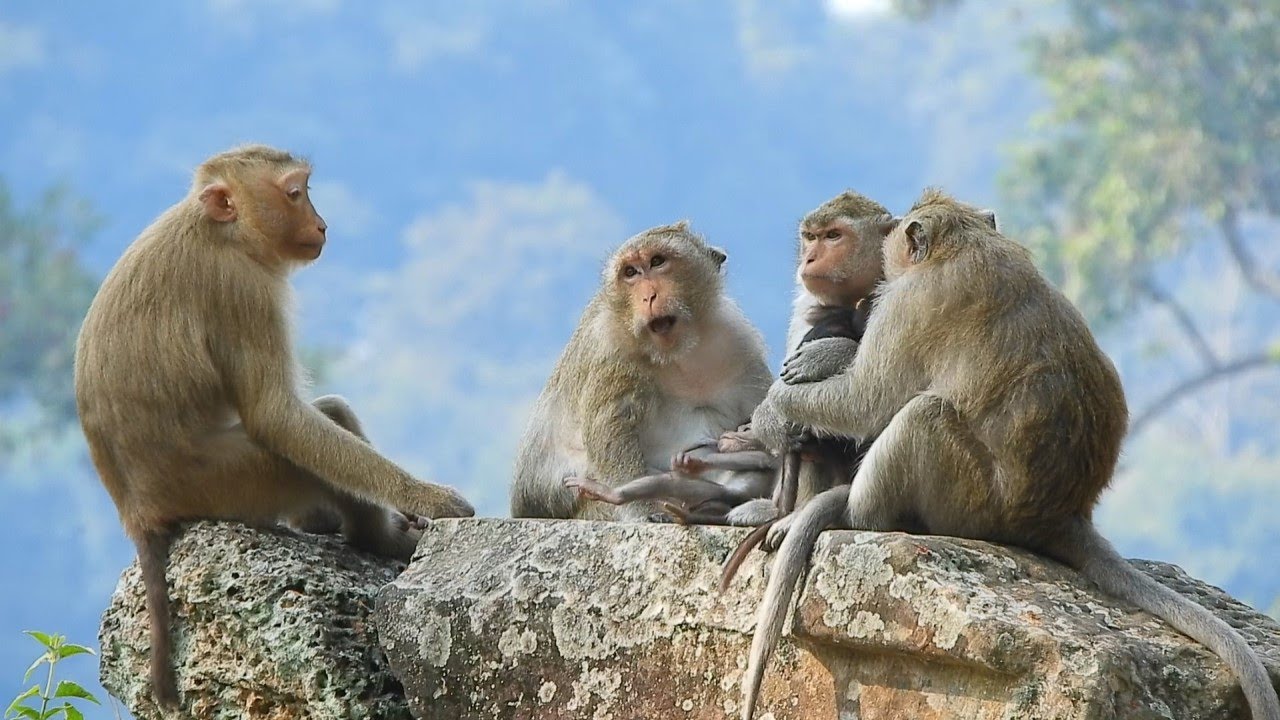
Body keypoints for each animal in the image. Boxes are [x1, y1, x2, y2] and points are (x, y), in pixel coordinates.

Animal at [74, 145, 474, 709]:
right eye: (294, 194)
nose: (322, 224)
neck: (220, 231)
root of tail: (139, 513)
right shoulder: (241, 287)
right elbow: (275, 415)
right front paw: (426, 498)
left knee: (328, 415)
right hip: (230, 481)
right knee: (309, 439)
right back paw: (381, 542)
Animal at [510, 221, 773, 522]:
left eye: (657, 262)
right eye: (630, 273)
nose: (649, 296)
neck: (677, 353)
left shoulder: (738, 340)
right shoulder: (610, 350)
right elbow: (610, 426)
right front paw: (642, 509)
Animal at [736, 189, 1280, 720]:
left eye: (833, 237)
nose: (810, 256)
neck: (963, 244)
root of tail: (1063, 515)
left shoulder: (909, 302)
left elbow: (868, 398)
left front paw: (775, 408)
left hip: (970, 501)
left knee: (921, 413)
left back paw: (857, 513)